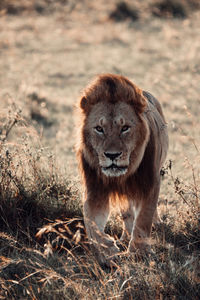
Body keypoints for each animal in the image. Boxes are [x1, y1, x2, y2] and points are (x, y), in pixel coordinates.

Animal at [76, 73, 169, 262]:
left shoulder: (150, 184)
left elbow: (144, 219)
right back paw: (125, 237)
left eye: (125, 128)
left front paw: (138, 253)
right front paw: (108, 249)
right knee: (127, 212)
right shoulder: (95, 190)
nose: (112, 155)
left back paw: (155, 224)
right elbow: (90, 221)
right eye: (99, 128)